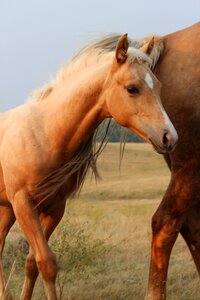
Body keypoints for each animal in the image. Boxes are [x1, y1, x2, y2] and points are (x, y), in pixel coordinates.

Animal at [0, 34, 177, 298]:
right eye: (132, 88)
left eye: (158, 86)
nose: (170, 137)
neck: (44, 132)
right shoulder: (23, 204)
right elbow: (47, 263)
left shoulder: (54, 207)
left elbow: (33, 262)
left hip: (6, 208)